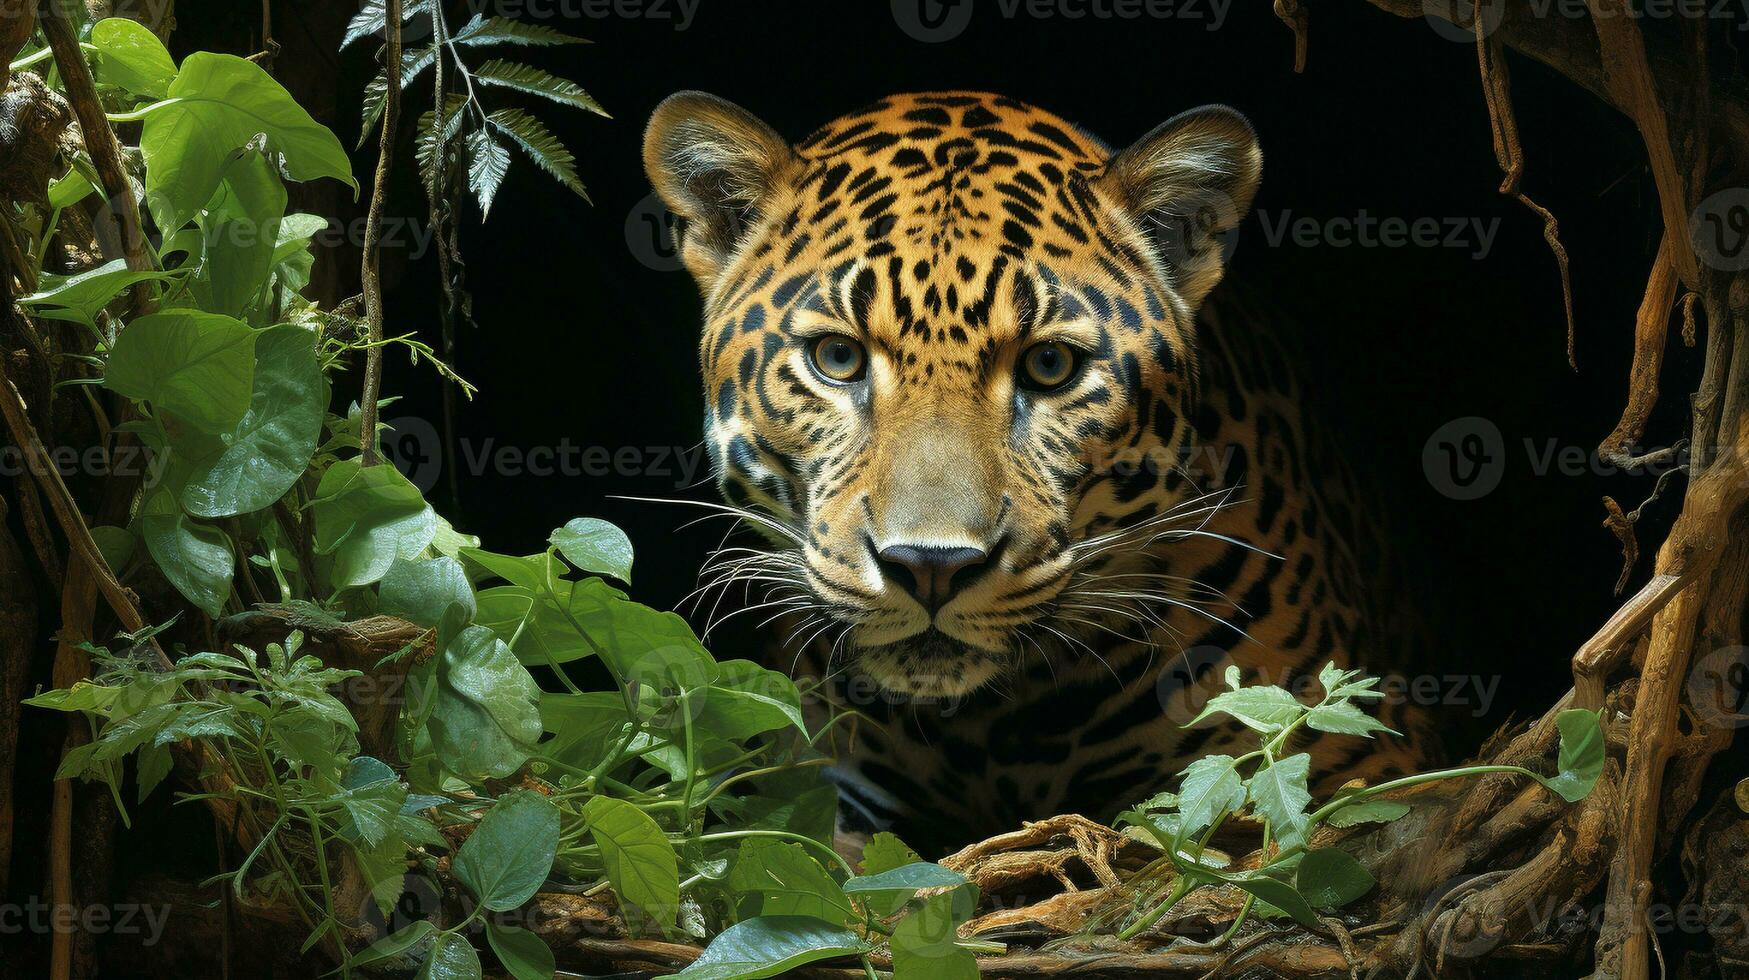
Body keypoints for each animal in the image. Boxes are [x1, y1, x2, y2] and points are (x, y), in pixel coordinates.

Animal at [643, 90, 1434, 850]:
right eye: (836, 358)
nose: (930, 566)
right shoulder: (834, 793)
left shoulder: (1343, 757)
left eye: (1049, 366)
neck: (989, 731)